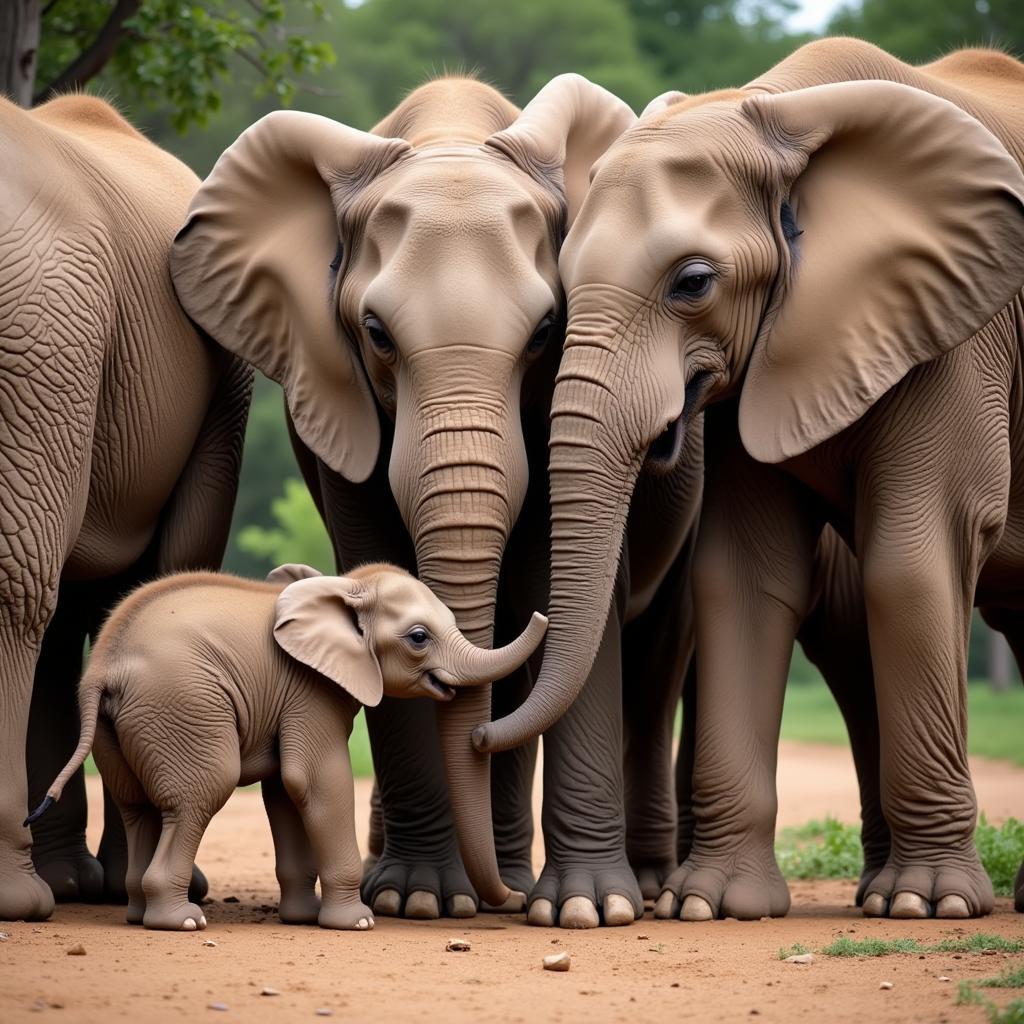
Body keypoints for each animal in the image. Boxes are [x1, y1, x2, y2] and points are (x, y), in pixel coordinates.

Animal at [28, 565, 548, 933]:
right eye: (419, 638)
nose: (516, 900)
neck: (346, 585)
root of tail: (101, 670)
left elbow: (284, 791)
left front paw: (303, 917)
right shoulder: (310, 688)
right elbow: (318, 782)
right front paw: (357, 922)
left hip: (125, 725)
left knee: (138, 806)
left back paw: (139, 913)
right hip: (181, 703)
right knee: (199, 794)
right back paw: (182, 921)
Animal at [167, 72, 688, 921]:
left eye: (546, 331)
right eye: (376, 334)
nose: (478, 735)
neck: (452, 133)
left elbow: (559, 580)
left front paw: (585, 910)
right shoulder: (331, 393)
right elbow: (374, 554)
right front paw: (419, 898)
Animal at [473, 37, 1024, 921]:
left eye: (693, 283)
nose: (479, 733)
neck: (777, 114)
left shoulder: (963, 325)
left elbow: (911, 564)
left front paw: (927, 903)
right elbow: (743, 576)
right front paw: (712, 904)